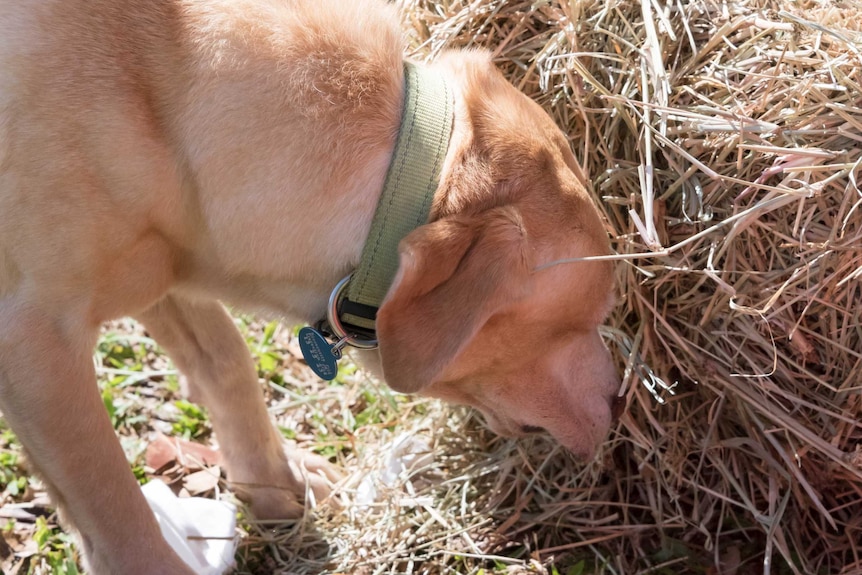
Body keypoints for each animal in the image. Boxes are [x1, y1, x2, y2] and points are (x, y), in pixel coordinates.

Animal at [0, 0, 620, 572]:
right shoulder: (35, 339)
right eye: (583, 319)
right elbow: (112, 504)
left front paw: (276, 482)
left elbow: (225, 361)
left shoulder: (166, 263)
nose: (619, 399)